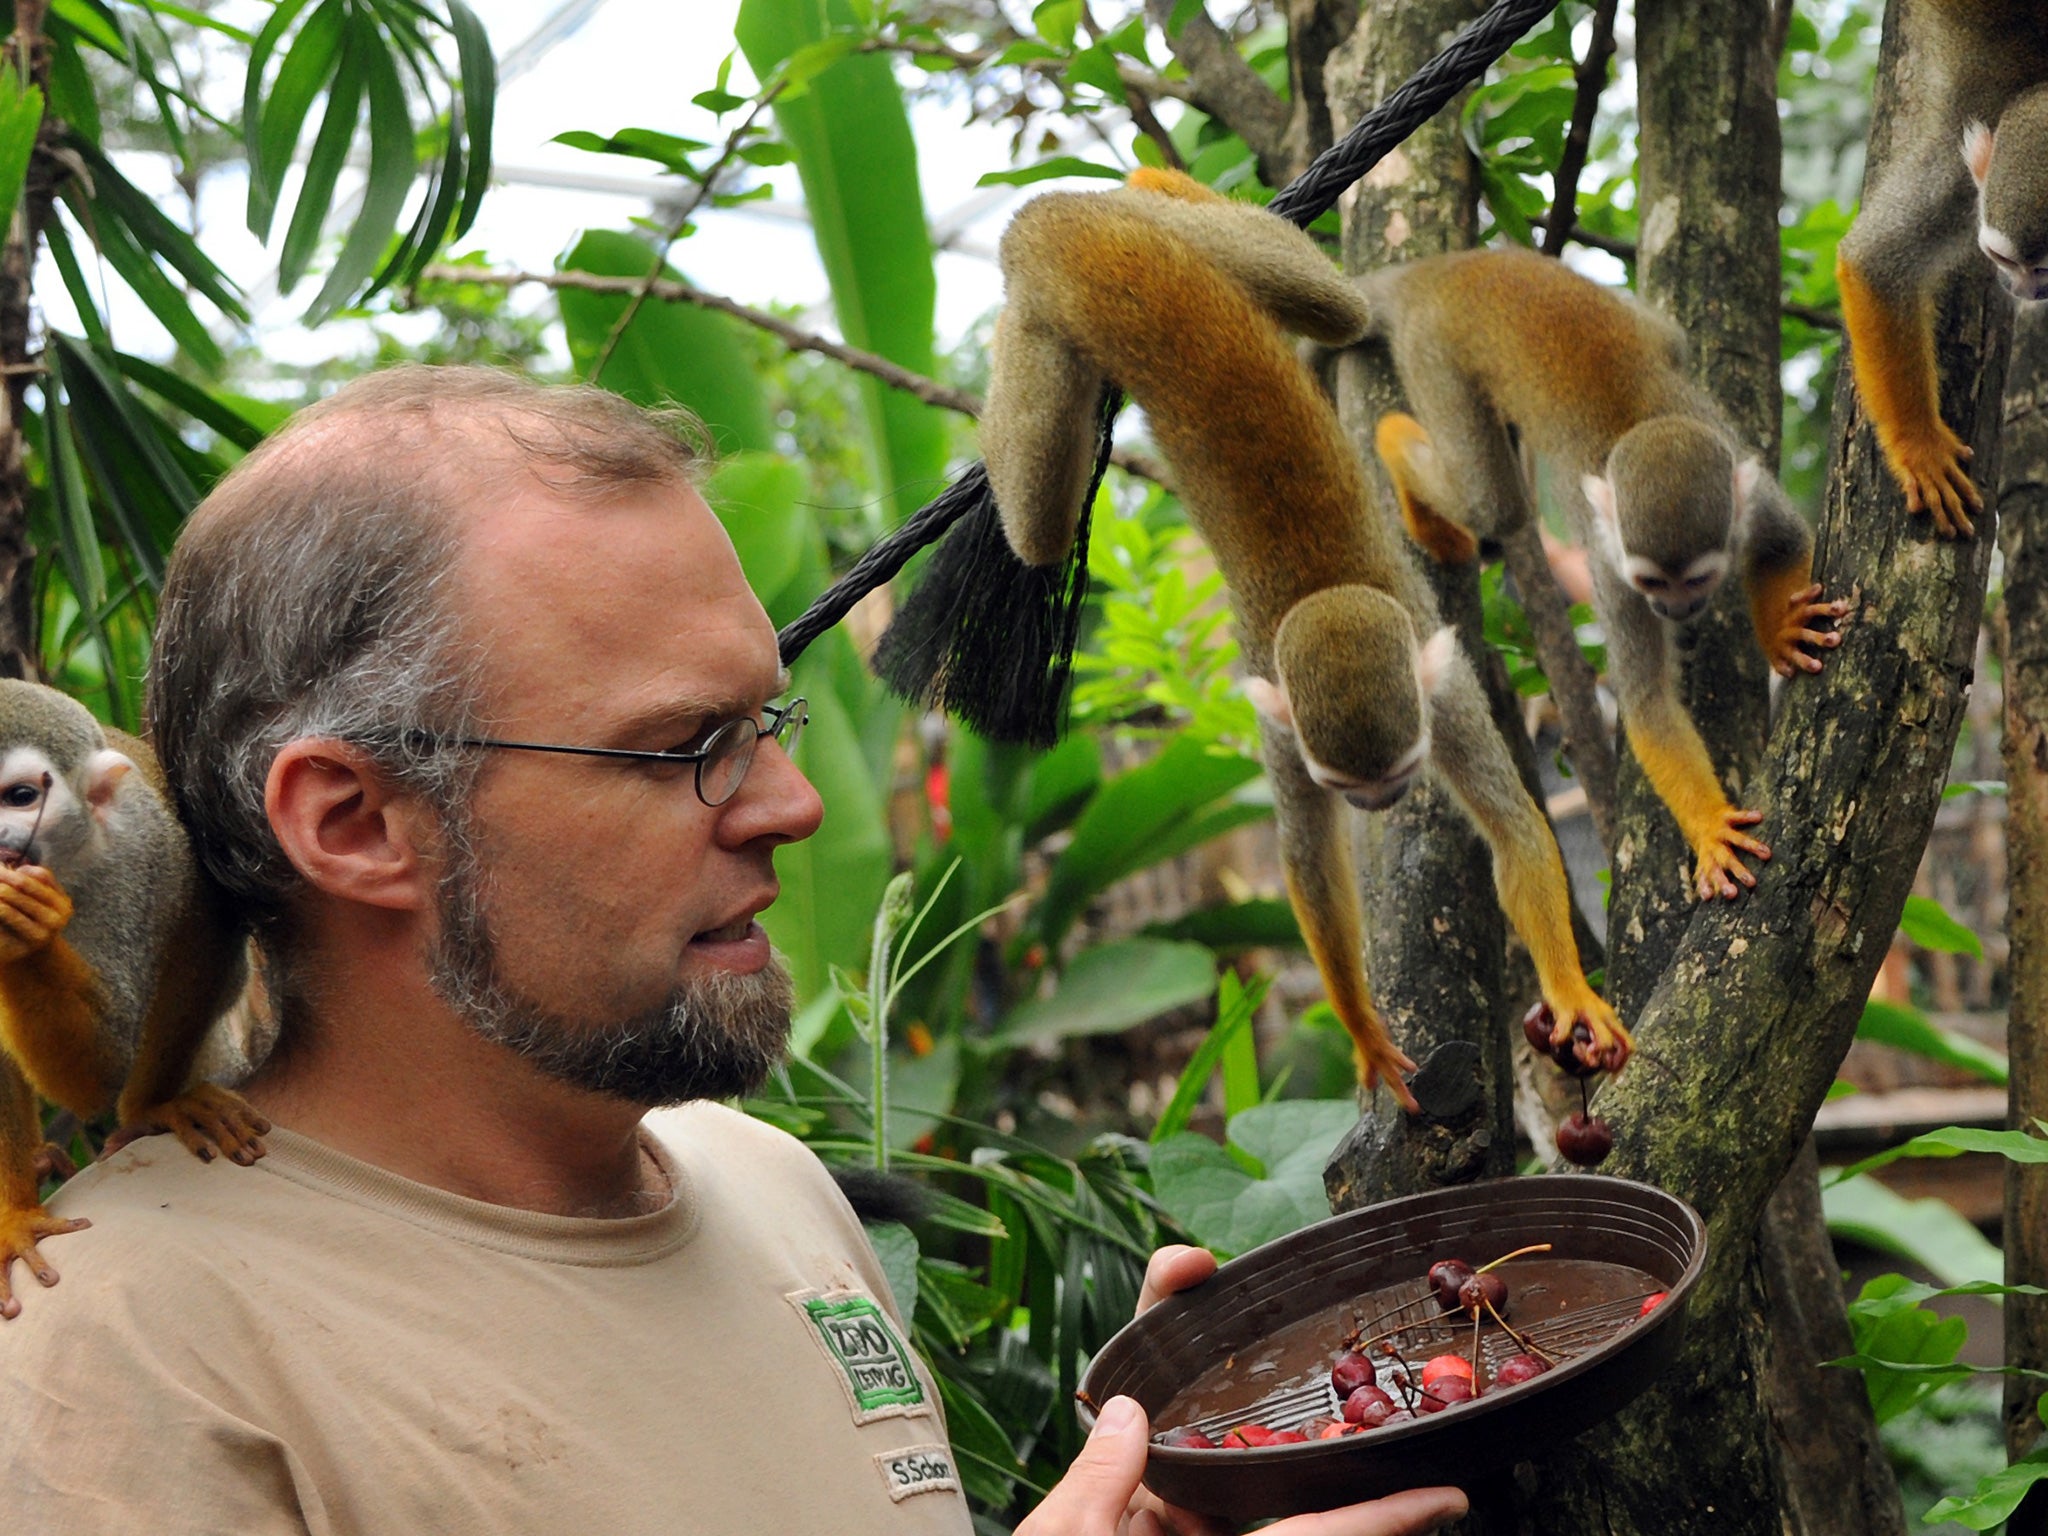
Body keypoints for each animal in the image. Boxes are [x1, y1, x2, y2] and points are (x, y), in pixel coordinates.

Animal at [983, 171, 1622, 1105]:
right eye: (1346, 782)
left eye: (1397, 773)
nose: (1380, 806)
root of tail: (1100, 253)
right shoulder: (1282, 725)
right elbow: (1311, 862)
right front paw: (1362, 1028)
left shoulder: (1442, 693)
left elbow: (1516, 832)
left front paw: (1570, 993)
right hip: (1050, 306)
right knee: (1036, 533)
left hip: (1141, 261)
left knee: (1334, 310)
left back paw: (1160, 182)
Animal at [1359, 247, 1859, 909]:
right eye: (1652, 586)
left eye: (1696, 581)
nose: (1676, 612)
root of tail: (1454, 268)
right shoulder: (1609, 565)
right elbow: (1645, 703)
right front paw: (1711, 828)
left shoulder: (1748, 503)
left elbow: (1785, 543)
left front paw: (1783, 633)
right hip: (1434, 351)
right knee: (1492, 504)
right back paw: (1395, 445)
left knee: (1667, 342)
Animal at [1835, 0, 2048, 536]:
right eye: (2004, 260)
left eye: (2047, 271)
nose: (2028, 293)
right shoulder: (1959, 176)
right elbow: (1875, 263)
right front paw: (1920, 447)